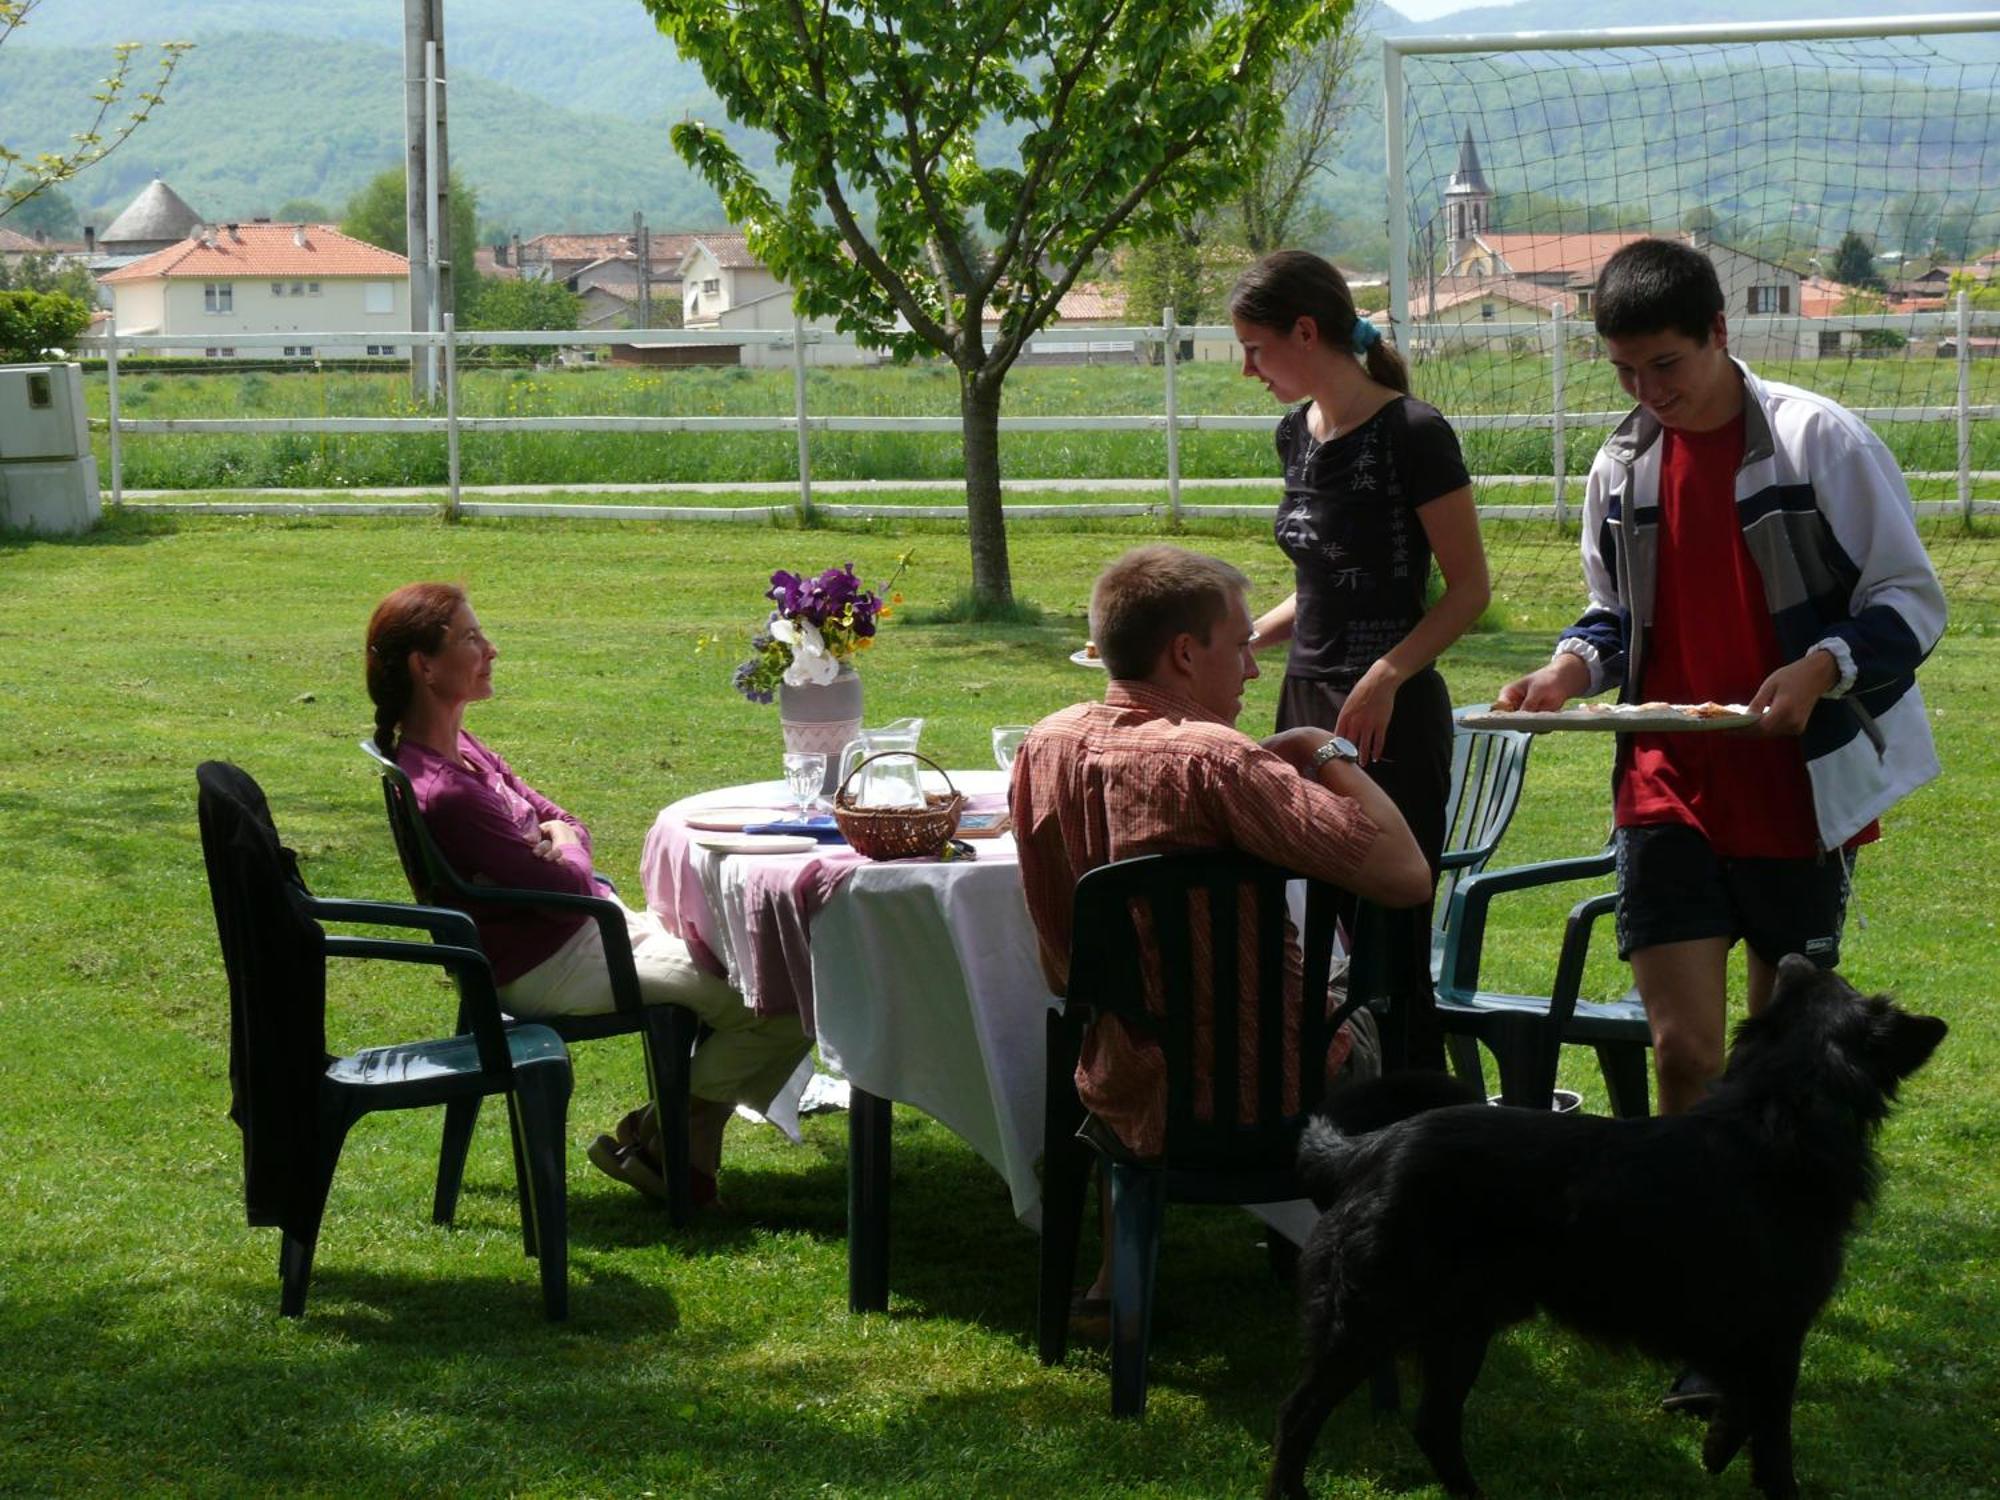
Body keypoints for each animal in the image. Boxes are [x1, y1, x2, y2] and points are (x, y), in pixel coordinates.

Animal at [1272, 956, 1944, 1500]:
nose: (1805, 956)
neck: (1778, 1112)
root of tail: (1369, 1148)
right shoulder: (1778, 1338)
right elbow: (1772, 1443)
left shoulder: (1749, 1337)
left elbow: (1739, 1407)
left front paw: (1715, 1446)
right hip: (1370, 1322)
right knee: (1298, 1414)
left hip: (1461, 1326)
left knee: (1433, 1425)